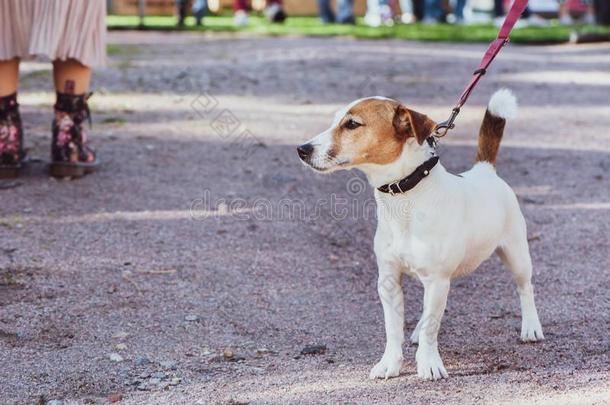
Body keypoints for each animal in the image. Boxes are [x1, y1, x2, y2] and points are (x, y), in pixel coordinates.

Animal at [294, 88, 540, 378]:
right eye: (334, 120)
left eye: (352, 124)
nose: (302, 149)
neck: (405, 197)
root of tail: (484, 170)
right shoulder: (389, 281)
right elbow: (393, 329)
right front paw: (390, 363)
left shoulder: (436, 279)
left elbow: (432, 328)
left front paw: (429, 363)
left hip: (516, 255)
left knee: (525, 288)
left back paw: (531, 327)